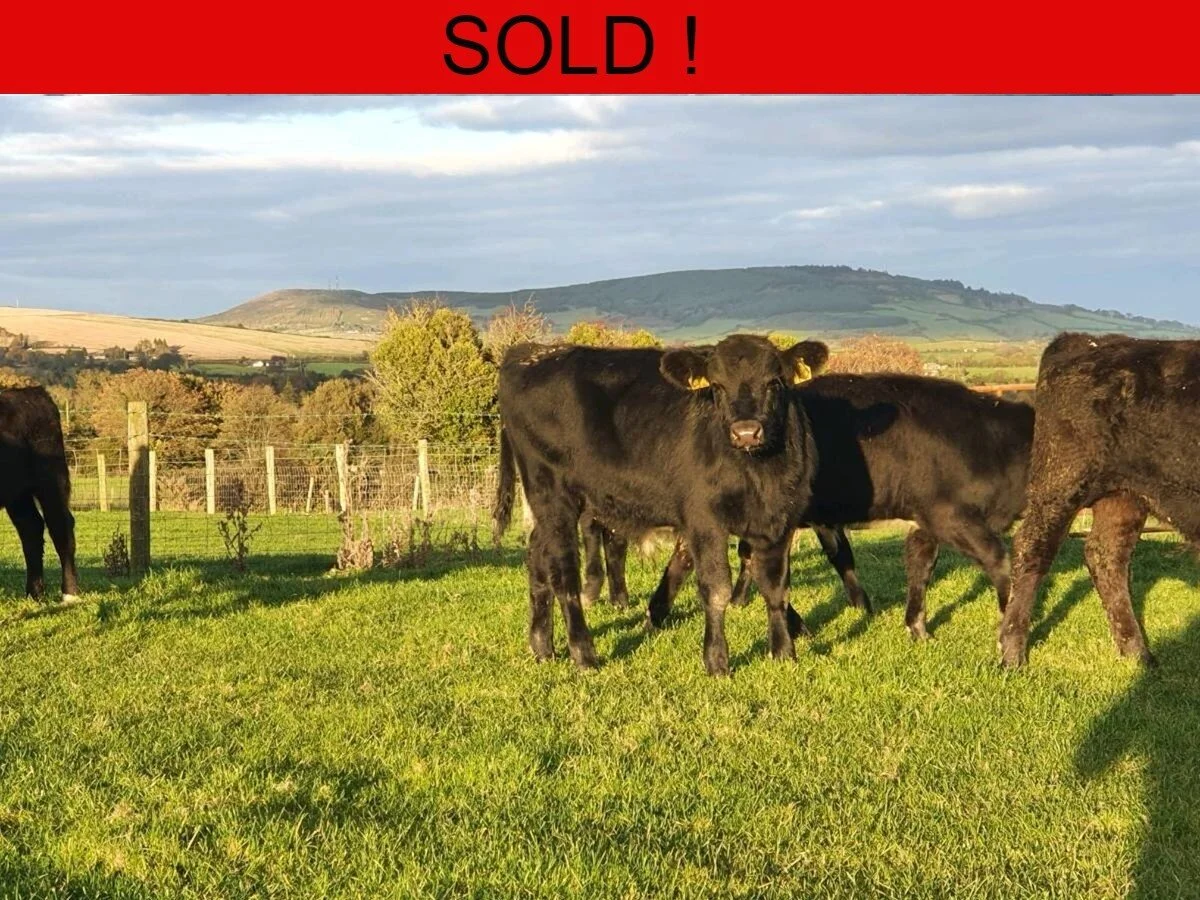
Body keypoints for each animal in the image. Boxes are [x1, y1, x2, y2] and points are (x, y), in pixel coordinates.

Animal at [0, 386, 80, 601]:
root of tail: (33, 392)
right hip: (17, 493)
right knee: (31, 528)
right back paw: (34, 593)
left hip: (52, 479)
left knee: (60, 526)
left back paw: (70, 593)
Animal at [493, 334, 829, 676]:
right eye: (717, 386)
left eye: (774, 382)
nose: (745, 432)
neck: (759, 473)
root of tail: (528, 352)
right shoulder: (704, 519)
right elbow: (716, 589)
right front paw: (717, 661)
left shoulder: (780, 520)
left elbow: (776, 588)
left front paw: (784, 653)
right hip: (552, 493)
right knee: (564, 574)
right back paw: (583, 654)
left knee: (537, 556)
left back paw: (542, 645)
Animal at [641, 373, 1036, 641]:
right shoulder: (951, 515)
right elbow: (999, 561)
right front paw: (1009, 620)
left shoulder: (924, 521)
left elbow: (919, 568)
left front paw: (916, 626)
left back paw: (657, 614)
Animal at [999, 332, 1200, 668]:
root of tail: (1088, 341)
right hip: (1061, 484)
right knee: (1031, 548)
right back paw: (1012, 655)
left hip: (1124, 496)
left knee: (1106, 556)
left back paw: (1137, 653)